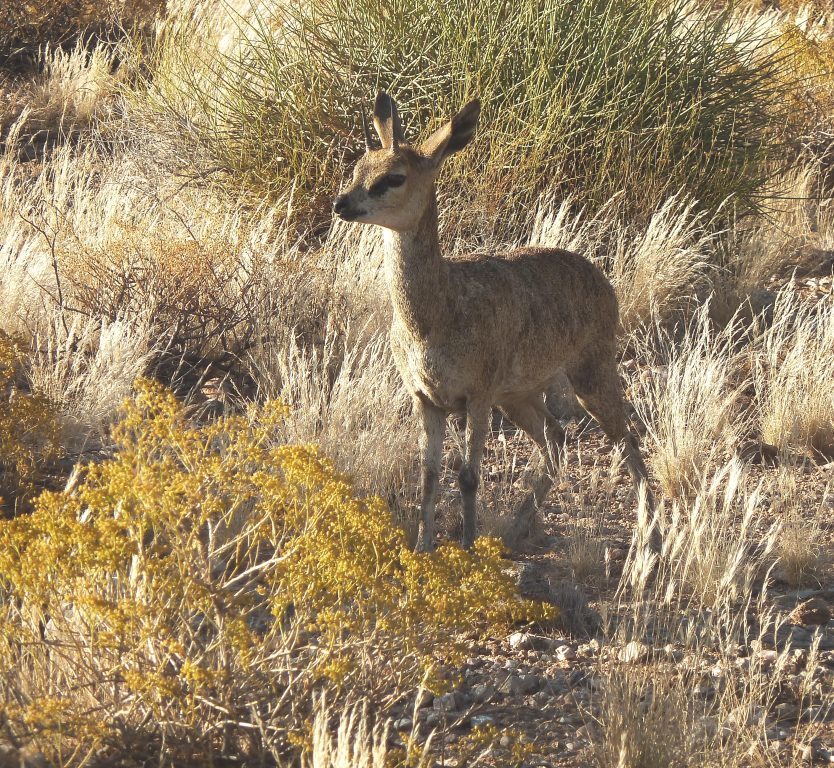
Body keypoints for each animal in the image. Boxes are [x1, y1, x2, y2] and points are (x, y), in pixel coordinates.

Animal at [332, 93, 648, 552]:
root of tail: (602, 280)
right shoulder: (425, 397)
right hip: (517, 395)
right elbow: (428, 476)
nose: (341, 204)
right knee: (557, 438)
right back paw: (516, 530)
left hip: (589, 373)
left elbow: (467, 476)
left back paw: (651, 536)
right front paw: (423, 547)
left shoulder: (476, 395)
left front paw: (466, 548)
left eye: (394, 177)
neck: (431, 319)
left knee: (625, 440)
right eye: (358, 167)